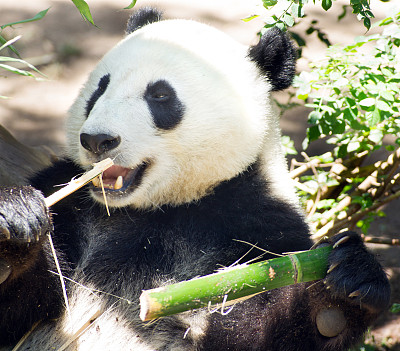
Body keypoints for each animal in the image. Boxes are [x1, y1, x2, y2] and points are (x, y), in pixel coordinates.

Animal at [0, 8, 390, 351]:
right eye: (100, 88)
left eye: (160, 95)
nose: (97, 140)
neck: (161, 206)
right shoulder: (69, 202)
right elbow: (21, 312)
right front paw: (16, 221)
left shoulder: (258, 229)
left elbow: (249, 330)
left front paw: (340, 297)